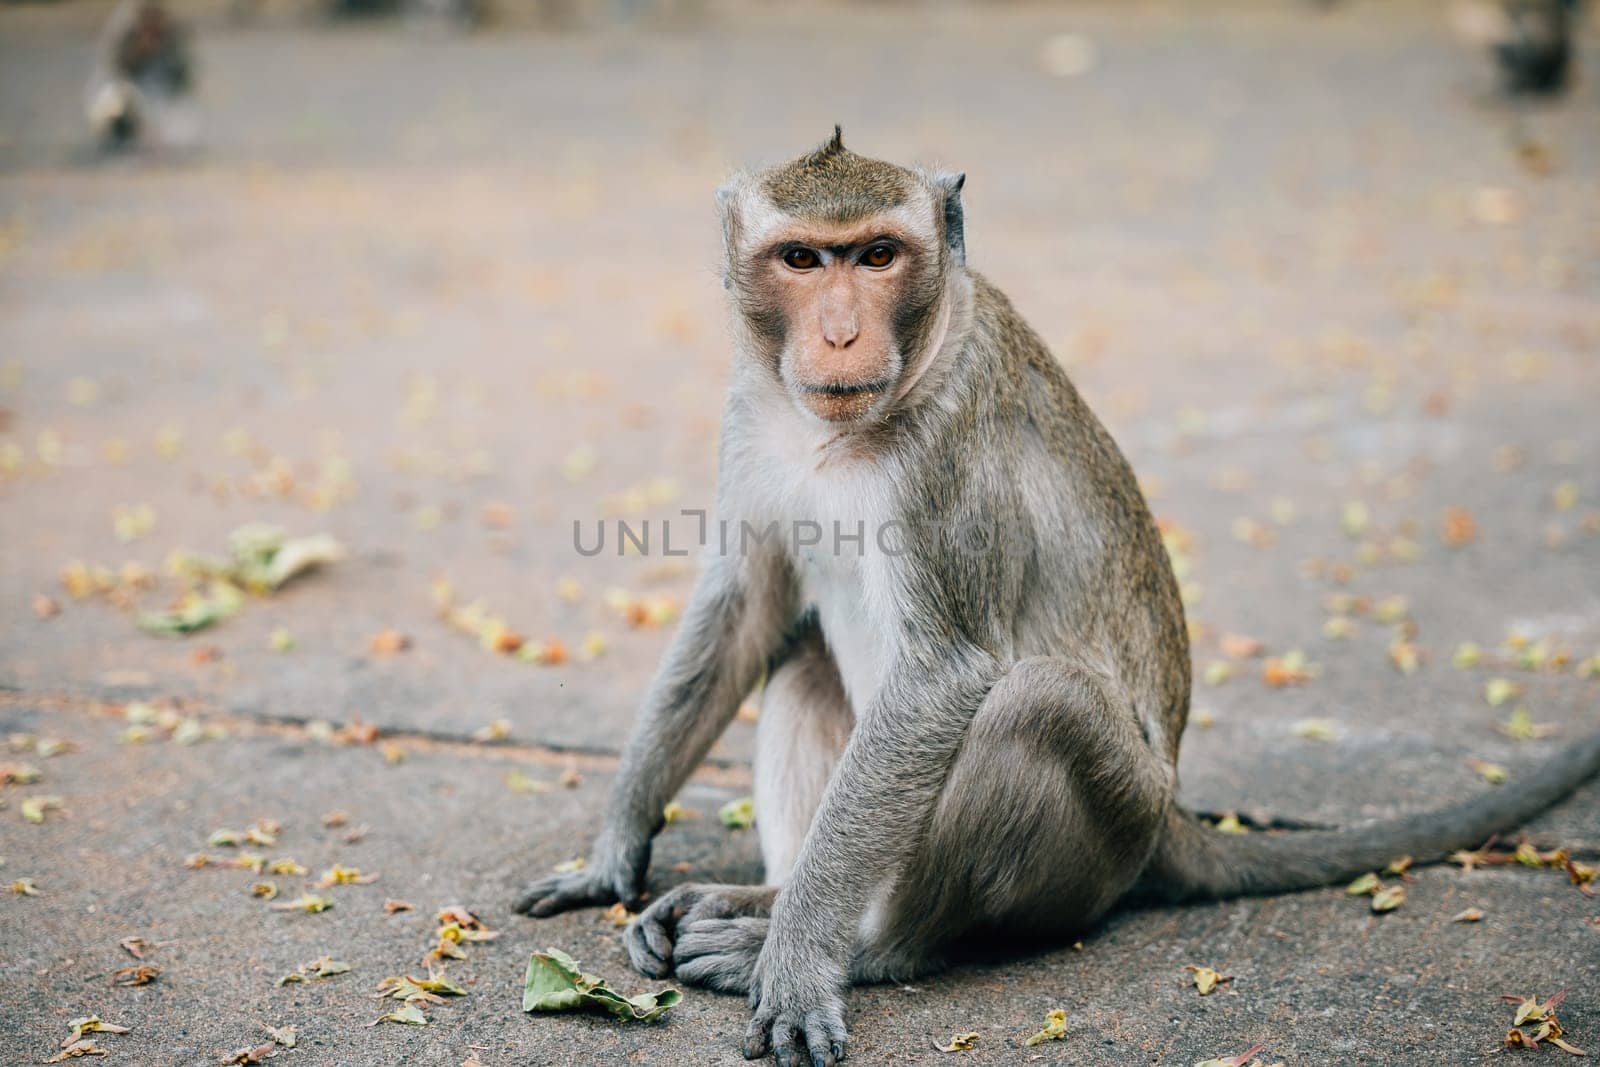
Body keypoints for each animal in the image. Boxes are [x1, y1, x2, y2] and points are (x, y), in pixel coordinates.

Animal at [518, 129, 1600, 1062]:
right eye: (801, 258)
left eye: (877, 255)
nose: (838, 331)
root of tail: (1171, 812)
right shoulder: (751, 408)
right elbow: (744, 604)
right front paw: (614, 850)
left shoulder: (948, 456)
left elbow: (944, 678)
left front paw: (800, 965)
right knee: (810, 661)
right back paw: (760, 896)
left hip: (1112, 821)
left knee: (1037, 703)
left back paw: (858, 942)